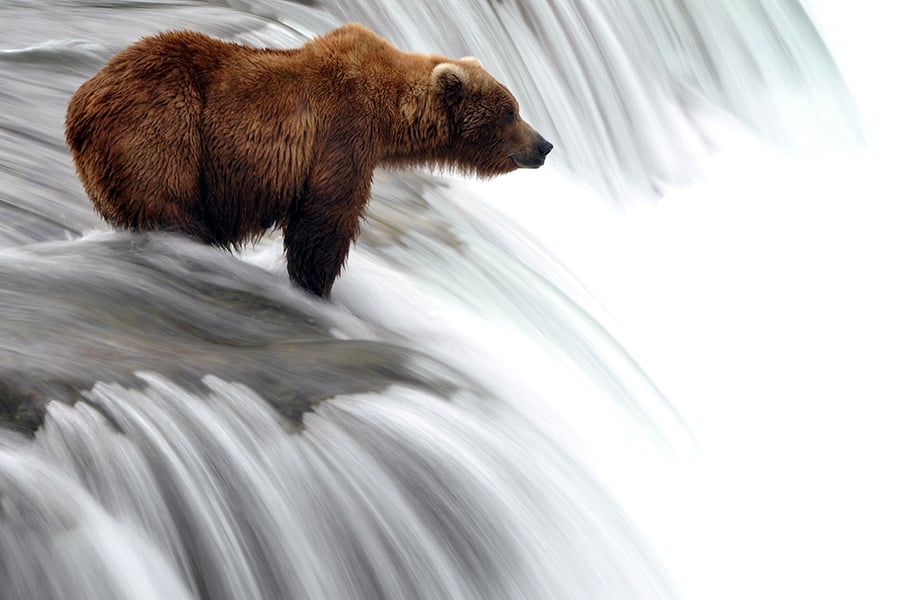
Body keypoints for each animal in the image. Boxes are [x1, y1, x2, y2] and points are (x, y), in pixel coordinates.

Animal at [65, 23, 553, 297]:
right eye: (510, 112)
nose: (545, 145)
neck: (390, 114)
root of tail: (78, 105)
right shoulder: (341, 134)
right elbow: (324, 220)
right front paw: (315, 286)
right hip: (163, 127)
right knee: (170, 206)